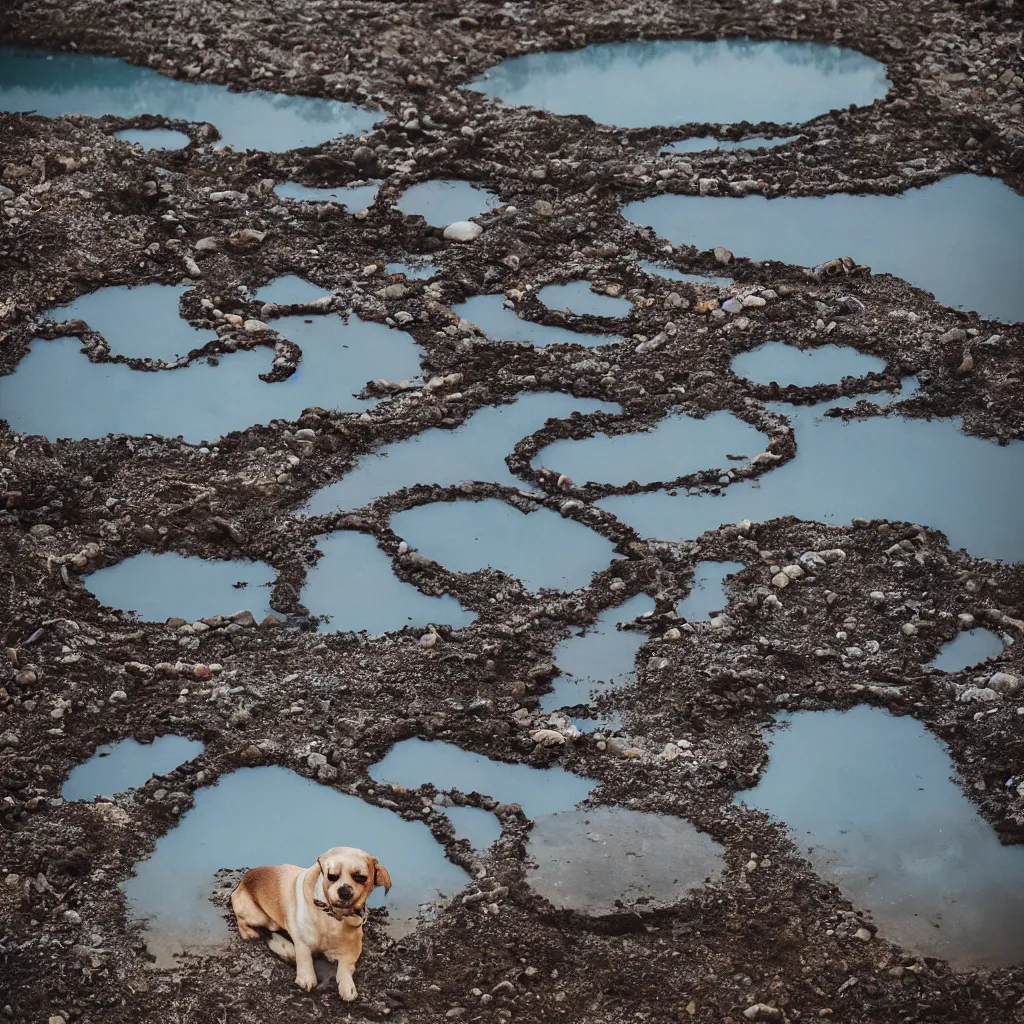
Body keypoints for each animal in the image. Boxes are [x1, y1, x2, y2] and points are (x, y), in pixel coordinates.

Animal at [232, 847, 391, 999]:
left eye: (361, 878)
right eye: (331, 876)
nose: (344, 891)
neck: (331, 915)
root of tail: (242, 882)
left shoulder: (352, 950)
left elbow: (345, 969)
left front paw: (347, 987)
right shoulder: (303, 942)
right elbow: (305, 959)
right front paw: (306, 979)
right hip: (257, 916)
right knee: (243, 922)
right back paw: (251, 934)